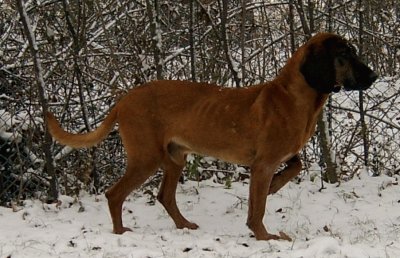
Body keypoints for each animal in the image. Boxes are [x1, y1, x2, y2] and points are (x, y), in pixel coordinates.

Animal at [47, 33, 378, 241]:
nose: (374, 76)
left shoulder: (277, 159)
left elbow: (295, 167)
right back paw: (120, 233)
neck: (293, 96)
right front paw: (265, 236)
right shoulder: (263, 164)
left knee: (164, 196)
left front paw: (273, 188)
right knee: (115, 194)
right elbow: (258, 208)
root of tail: (123, 100)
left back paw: (184, 225)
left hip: (175, 158)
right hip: (146, 157)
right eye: (345, 54)